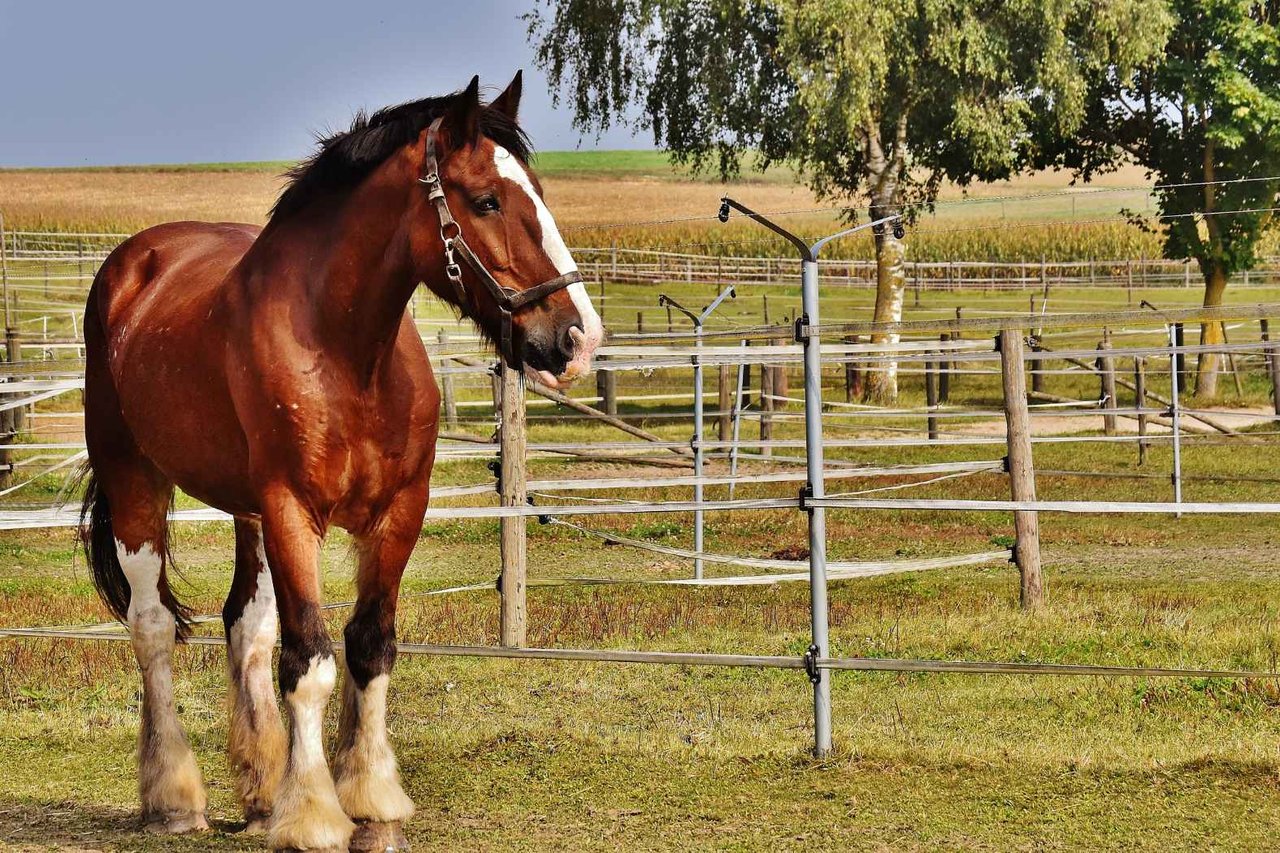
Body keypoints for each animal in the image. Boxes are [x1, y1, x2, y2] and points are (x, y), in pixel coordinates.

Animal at [78, 72, 603, 852]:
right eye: (487, 200)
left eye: (538, 190)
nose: (576, 338)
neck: (346, 354)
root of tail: (133, 264)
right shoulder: (294, 512)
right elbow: (312, 661)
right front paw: (313, 813)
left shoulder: (397, 512)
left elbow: (368, 646)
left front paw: (369, 793)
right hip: (136, 481)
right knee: (152, 628)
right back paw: (174, 795)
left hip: (246, 514)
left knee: (246, 626)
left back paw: (259, 789)